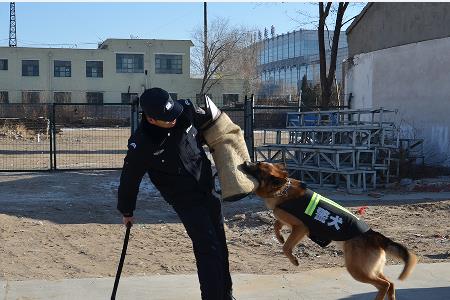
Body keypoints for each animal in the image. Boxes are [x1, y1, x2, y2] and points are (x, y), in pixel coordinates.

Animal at [243, 162, 418, 300]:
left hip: (357, 270)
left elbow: (286, 247)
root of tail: (374, 236)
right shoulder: (285, 219)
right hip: (370, 269)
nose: (244, 162)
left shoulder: (300, 228)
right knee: (390, 283)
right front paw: (279, 237)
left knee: (384, 285)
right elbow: (276, 224)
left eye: (257, 166)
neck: (282, 189)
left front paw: (293, 259)